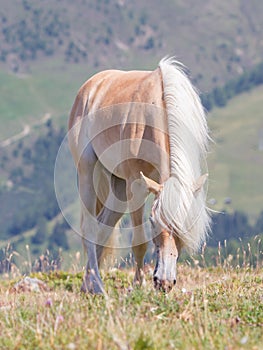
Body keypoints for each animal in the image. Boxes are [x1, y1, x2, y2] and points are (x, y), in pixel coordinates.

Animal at [69, 58, 211, 294]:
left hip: (117, 185)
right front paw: (138, 284)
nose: (164, 282)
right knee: (89, 227)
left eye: (184, 225)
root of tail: (90, 87)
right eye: (152, 221)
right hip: (87, 171)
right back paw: (97, 286)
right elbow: (139, 241)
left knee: (103, 227)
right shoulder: (136, 186)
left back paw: (87, 284)